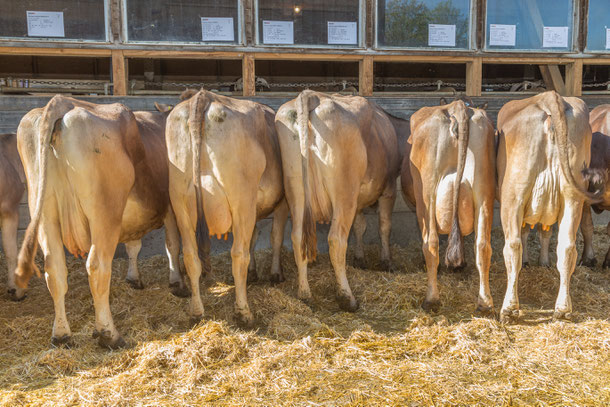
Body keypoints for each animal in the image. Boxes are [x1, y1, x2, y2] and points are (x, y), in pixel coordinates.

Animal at [13, 95, 185, 348]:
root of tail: (61, 101)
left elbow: (133, 246)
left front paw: (134, 278)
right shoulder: (171, 207)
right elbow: (172, 245)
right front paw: (177, 283)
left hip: (44, 213)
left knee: (54, 271)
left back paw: (61, 334)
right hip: (105, 213)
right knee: (97, 267)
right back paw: (109, 334)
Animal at [162, 89, 284, 328]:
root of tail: (203, 96)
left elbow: (255, 236)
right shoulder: (281, 202)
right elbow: (275, 236)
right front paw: (275, 274)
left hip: (180, 202)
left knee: (190, 256)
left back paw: (196, 310)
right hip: (241, 200)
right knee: (238, 254)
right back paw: (244, 312)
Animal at [274, 90, 400, 312]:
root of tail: (312, 95)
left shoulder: (359, 201)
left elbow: (360, 226)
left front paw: (360, 258)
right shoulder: (389, 189)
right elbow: (384, 226)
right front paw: (387, 262)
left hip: (295, 190)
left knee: (297, 237)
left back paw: (305, 294)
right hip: (344, 192)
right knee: (336, 240)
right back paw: (347, 298)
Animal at [404, 100, 494, 314]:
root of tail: (458, 106)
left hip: (427, 194)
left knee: (431, 243)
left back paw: (431, 299)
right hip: (484, 191)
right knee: (483, 245)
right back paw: (485, 303)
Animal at [496, 91, 600, 324]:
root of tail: (550, 96)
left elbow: (526, 234)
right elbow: (544, 232)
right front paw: (542, 261)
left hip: (513, 195)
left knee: (513, 246)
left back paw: (509, 308)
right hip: (572, 197)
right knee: (567, 248)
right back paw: (562, 309)